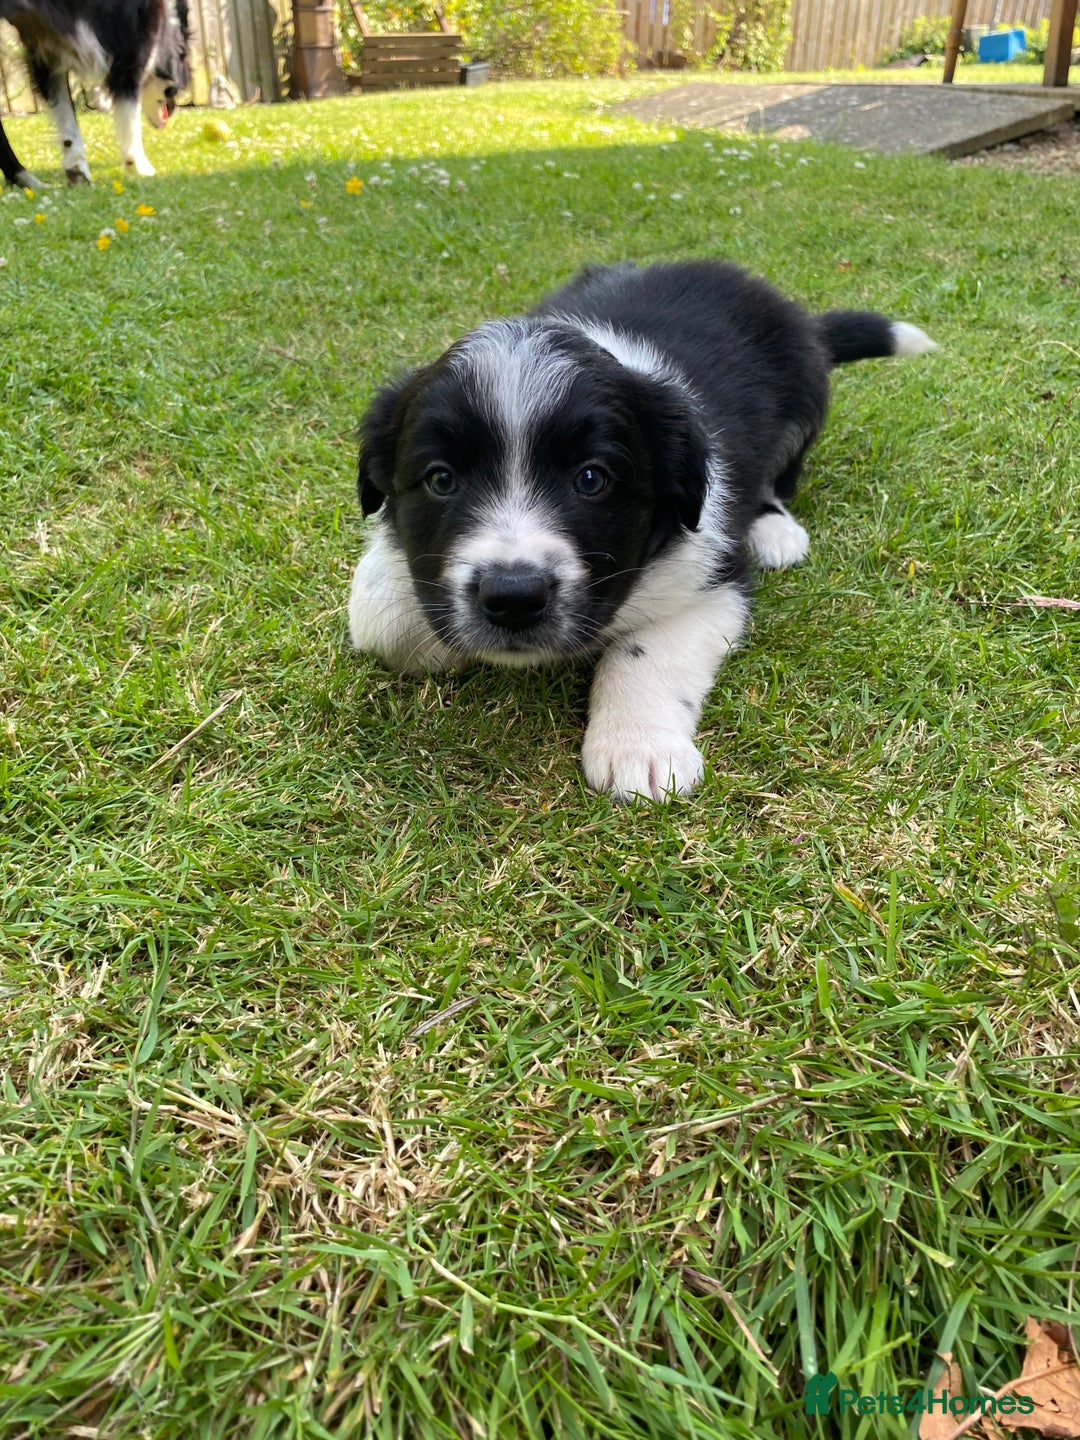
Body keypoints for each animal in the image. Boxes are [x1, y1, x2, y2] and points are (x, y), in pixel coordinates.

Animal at [0, 0, 190, 188]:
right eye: (184, 54)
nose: (174, 108)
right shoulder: (131, 42)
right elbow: (129, 109)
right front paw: (139, 166)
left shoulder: (47, 44)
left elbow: (66, 115)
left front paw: (76, 168)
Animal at [348, 259, 935, 802]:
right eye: (440, 480)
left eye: (592, 479)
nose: (514, 597)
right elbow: (380, 617)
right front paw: (435, 639)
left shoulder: (713, 576)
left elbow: (645, 650)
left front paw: (640, 749)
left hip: (805, 393)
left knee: (781, 474)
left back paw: (773, 528)